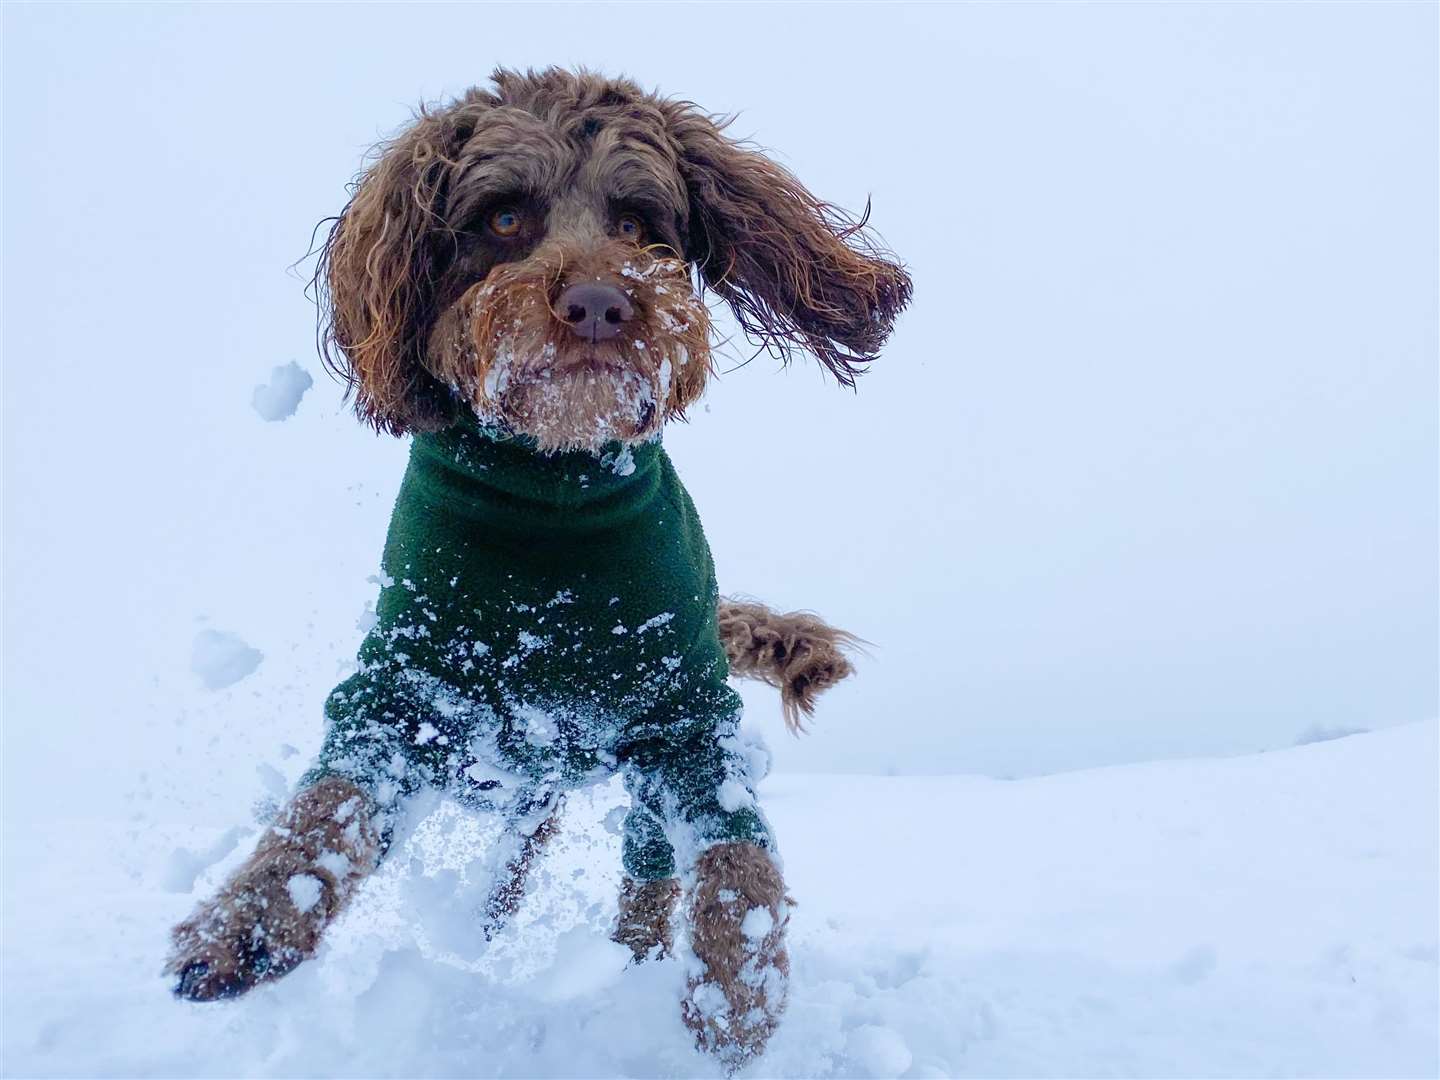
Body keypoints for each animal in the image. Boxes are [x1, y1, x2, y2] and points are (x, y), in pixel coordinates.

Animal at [168, 67, 904, 1077]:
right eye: (505, 217)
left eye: (637, 221)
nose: (599, 303)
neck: (554, 496)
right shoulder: (403, 689)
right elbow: (324, 811)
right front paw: (242, 926)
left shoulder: (689, 719)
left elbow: (737, 867)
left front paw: (736, 1001)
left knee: (647, 870)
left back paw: (639, 961)